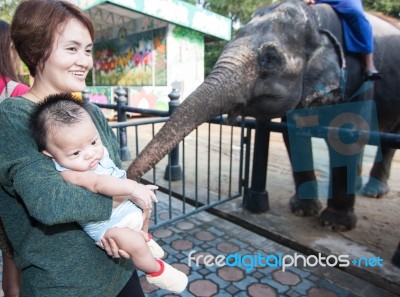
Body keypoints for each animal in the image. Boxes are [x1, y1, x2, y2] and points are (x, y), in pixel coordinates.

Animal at [126, 0, 400, 266]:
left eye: (270, 58)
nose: (132, 180)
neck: (315, 20)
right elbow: (294, 136)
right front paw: (302, 210)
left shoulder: (356, 80)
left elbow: (348, 134)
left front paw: (333, 224)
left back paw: (372, 192)